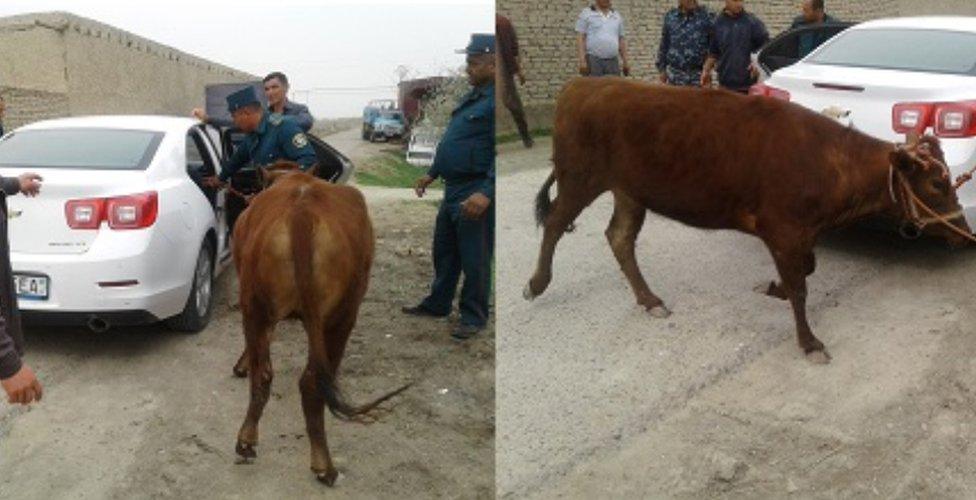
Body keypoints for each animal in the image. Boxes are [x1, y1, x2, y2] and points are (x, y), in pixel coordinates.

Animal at [233, 161, 408, 484]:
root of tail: (301, 214)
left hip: (255, 303)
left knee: (265, 374)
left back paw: (247, 442)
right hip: (343, 314)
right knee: (311, 381)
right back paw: (324, 465)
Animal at [528, 78, 968, 366]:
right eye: (936, 183)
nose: (964, 231)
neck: (827, 161)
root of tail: (585, 82)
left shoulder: (799, 235)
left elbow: (804, 272)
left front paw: (773, 289)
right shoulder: (784, 230)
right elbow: (801, 286)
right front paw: (809, 342)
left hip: (629, 192)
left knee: (619, 237)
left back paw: (650, 300)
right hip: (579, 177)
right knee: (554, 224)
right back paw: (536, 283)